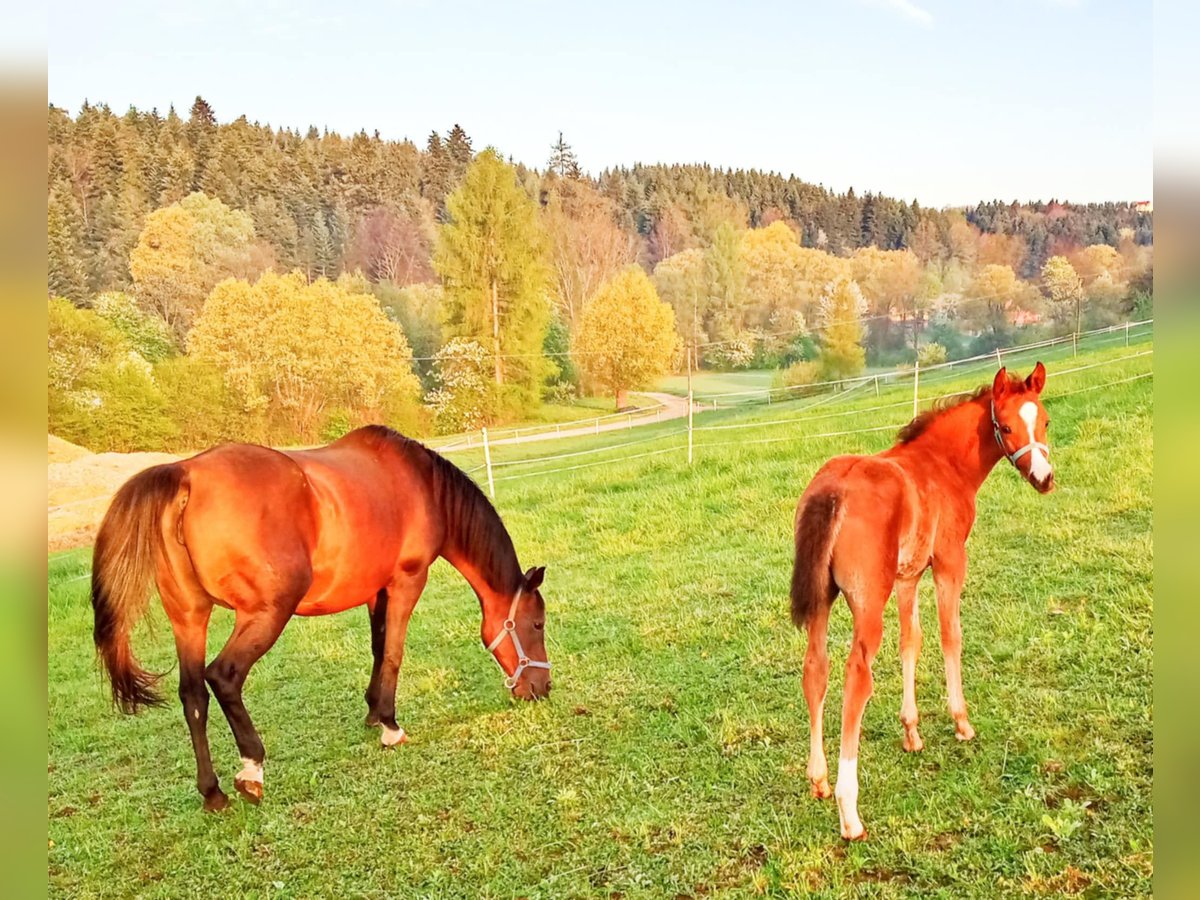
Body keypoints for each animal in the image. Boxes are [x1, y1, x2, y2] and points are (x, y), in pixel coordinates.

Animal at [92, 427, 552, 816]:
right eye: (537, 625)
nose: (542, 688)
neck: (422, 488)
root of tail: (185, 474)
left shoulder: (375, 590)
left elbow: (378, 647)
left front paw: (372, 711)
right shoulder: (407, 581)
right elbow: (394, 652)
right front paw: (390, 725)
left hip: (190, 617)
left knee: (193, 696)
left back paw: (213, 792)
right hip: (266, 613)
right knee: (223, 676)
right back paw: (251, 770)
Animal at [792, 362, 1056, 844]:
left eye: (1043, 420)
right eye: (1007, 427)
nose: (1044, 479)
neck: (942, 465)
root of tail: (833, 489)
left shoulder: (908, 576)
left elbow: (910, 641)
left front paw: (911, 731)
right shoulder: (950, 560)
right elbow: (951, 635)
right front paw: (961, 722)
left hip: (822, 599)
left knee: (815, 670)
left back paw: (818, 780)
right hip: (867, 603)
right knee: (856, 676)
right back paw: (848, 810)